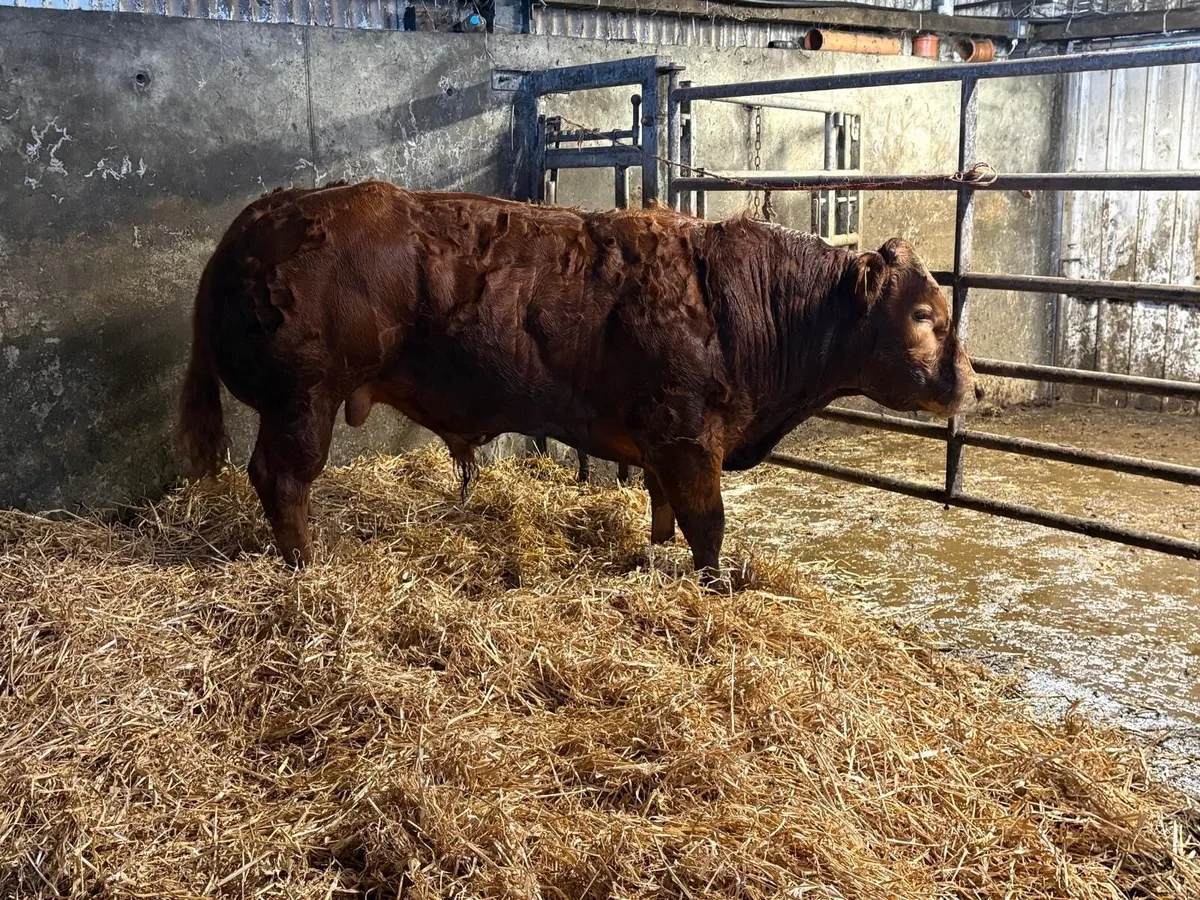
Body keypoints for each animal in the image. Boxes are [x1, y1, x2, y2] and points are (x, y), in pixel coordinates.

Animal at [179, 180, 981, 576]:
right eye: (923, 314)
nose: (973, 386)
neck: (740, 303)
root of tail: (254, 222)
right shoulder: (688, 434)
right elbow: (707, 522)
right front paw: (716, 582)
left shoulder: (663, 443)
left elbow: (663, 510)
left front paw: (655, 556)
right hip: (301, 400)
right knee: (281, 478)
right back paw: (306, 564)